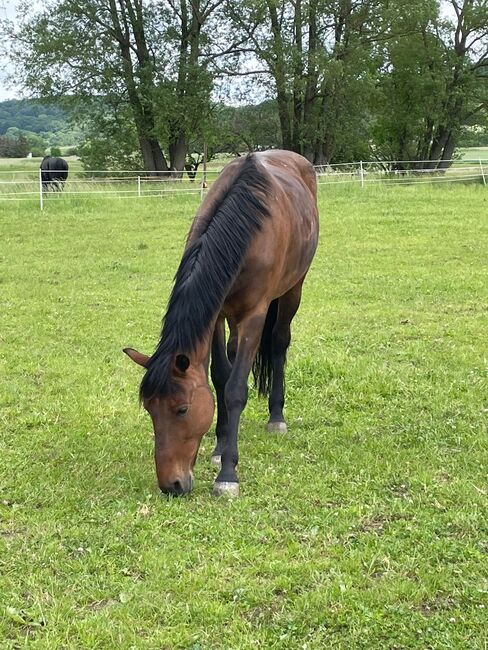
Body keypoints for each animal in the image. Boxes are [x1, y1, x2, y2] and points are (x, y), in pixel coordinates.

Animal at [124, 151, 318, 496]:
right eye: (149, 409)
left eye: (182, 409)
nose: (171, 485)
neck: (245, 231)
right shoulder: (215, 317)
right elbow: (219, 377)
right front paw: (219, 447)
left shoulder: (255, 314)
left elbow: (235, 388)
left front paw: (228, 474)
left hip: (293, 290)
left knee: (279, 343)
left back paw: (276, 417)